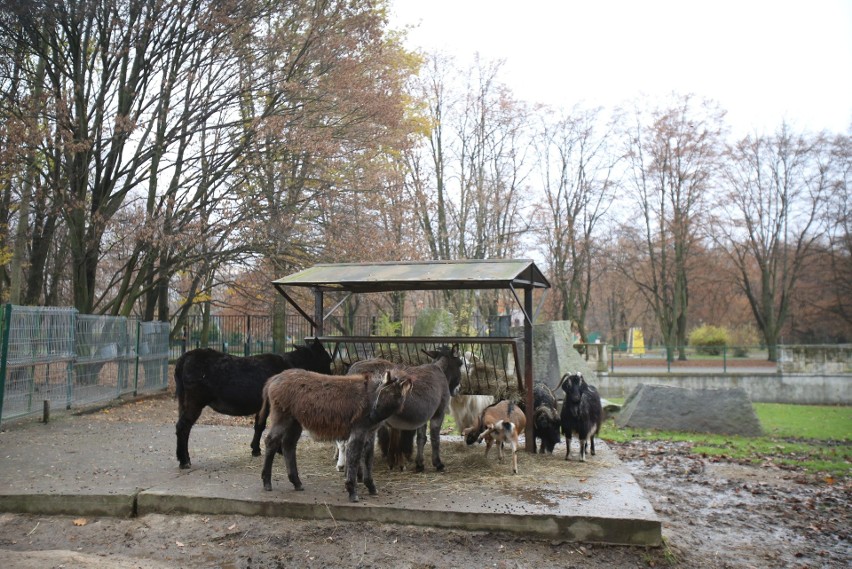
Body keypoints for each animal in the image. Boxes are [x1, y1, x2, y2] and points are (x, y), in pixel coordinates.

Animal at [262, 366, 412, 500]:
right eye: (381, 393)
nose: (373, 415)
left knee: (288, 445)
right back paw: (267, 482)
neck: (371, 397)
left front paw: (371, 487)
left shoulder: (370, 433)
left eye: (396, 397)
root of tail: (275, 377)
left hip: (295, 422)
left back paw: (296, 482)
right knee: (271, 441)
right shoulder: (358, 431)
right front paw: (352, 490)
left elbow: (368, 459)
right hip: (282, 417)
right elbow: (354, 458)